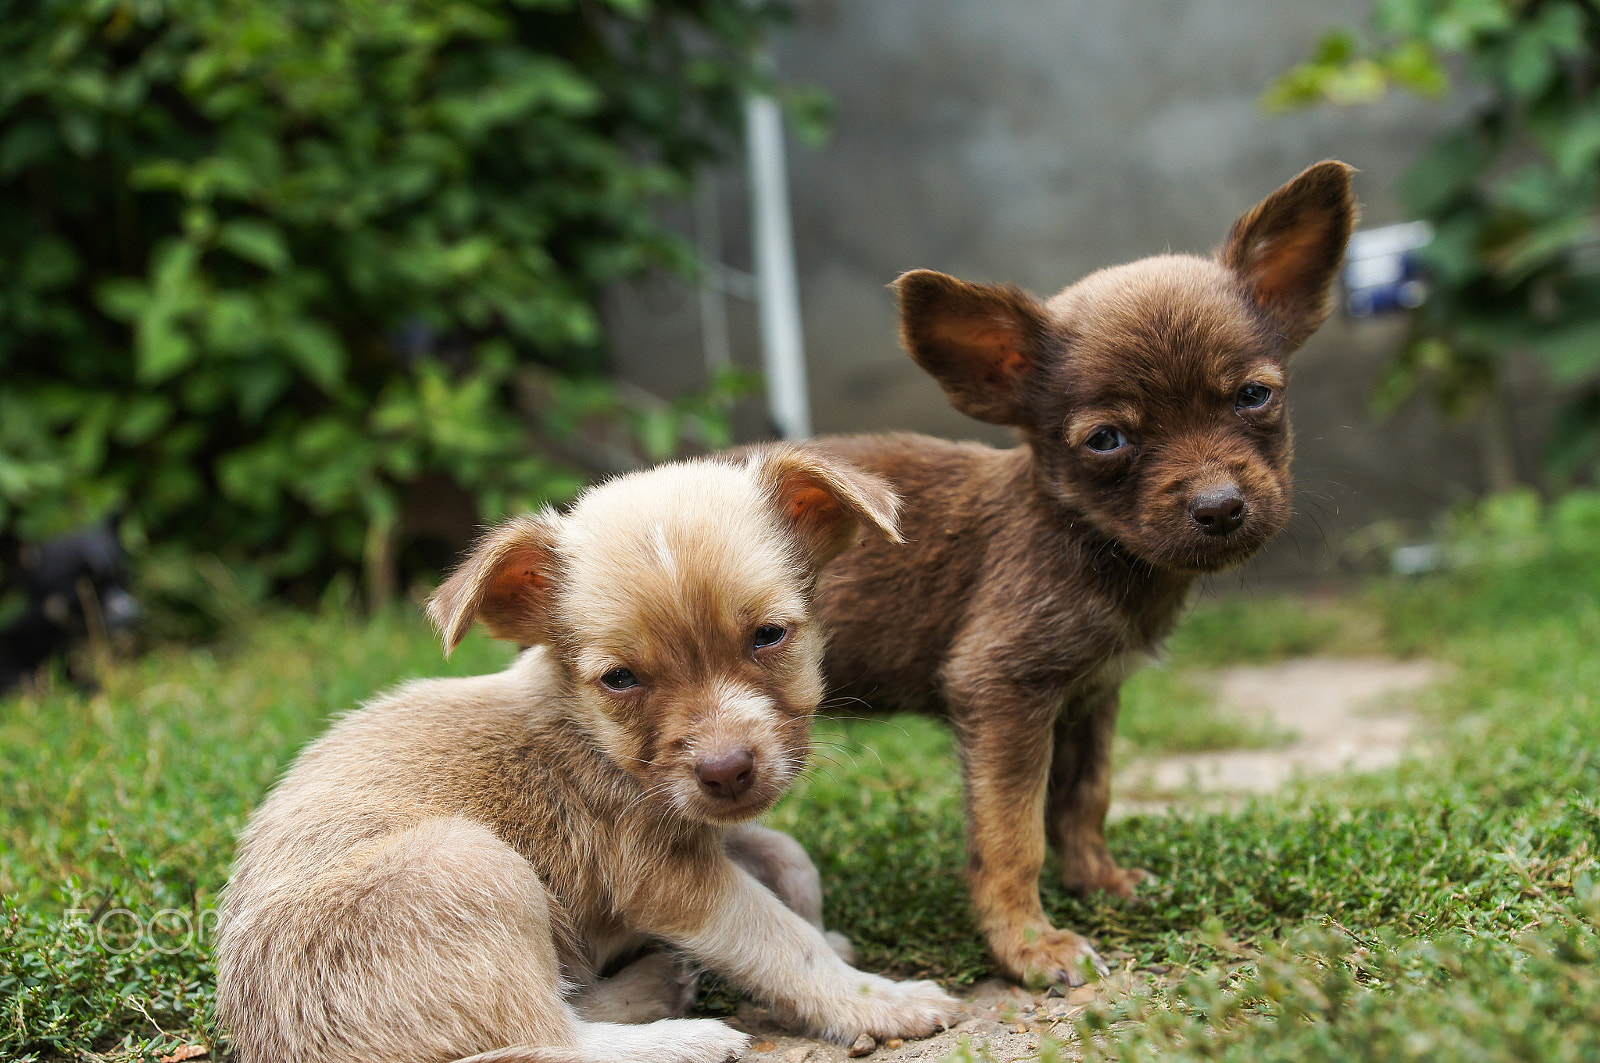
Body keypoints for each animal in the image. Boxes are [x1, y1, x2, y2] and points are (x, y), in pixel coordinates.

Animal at [212, 448, 960, 1063]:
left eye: (770, 635)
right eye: (620, 678)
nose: (725, 771)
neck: (590, 732)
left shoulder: (697, 824)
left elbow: (790, 859)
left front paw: (831, 937)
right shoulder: (667, 878)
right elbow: (779, 938)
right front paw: (875, 1000)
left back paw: (655, 981)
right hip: (472, 862)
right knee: (549, 1039)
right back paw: (680, 1035)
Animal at [812, 160, 1350, 986]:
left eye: (1254, 396)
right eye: (1107, 440)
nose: (1220, 507)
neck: (1088, 541)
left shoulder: (1091, 693)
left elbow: (1084, 797)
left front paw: (1099, 880)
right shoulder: (1002, 690)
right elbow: (1012, 833)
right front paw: (1028, 943)